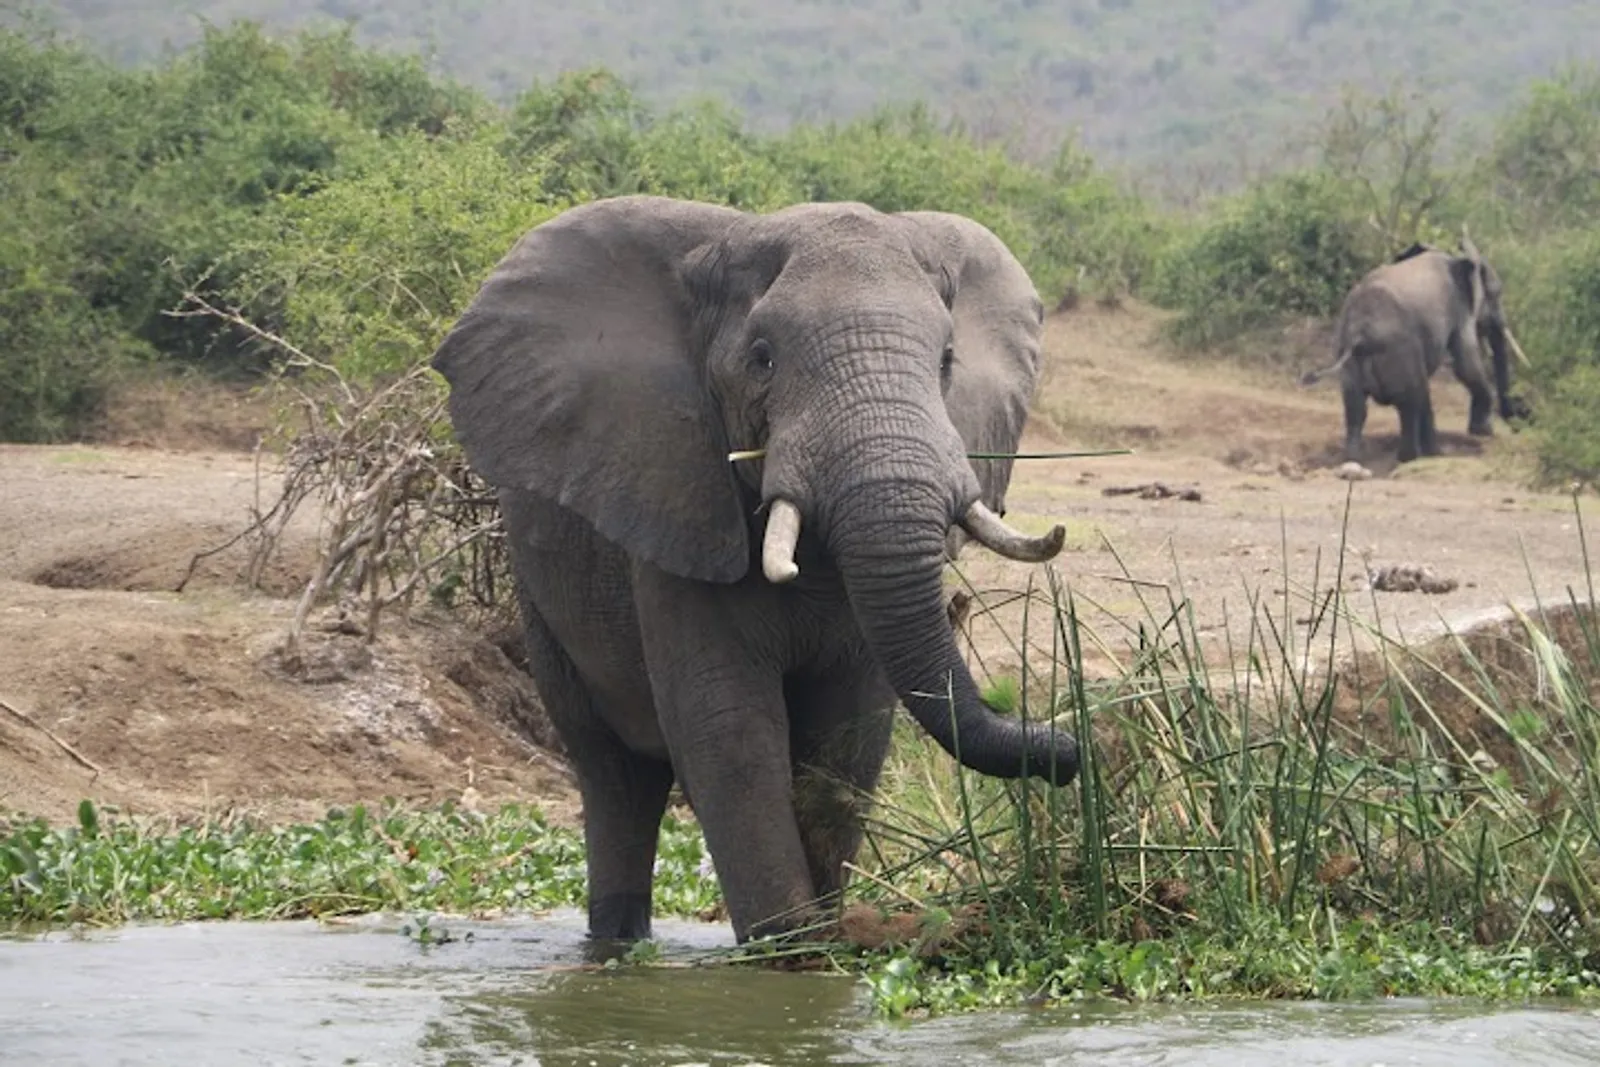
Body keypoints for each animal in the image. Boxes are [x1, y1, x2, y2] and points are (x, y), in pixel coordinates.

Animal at [425, 191, 1081, 940]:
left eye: (946, 360)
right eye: (762, 360)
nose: (1067, 750)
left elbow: (847, 737)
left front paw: (820, 943)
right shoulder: (681, 500)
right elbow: (730, 729)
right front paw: (786, 952)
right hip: (543, 600)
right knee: (612, 774)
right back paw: (617, 943)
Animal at [1292, 230, 1529, 463]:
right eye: (1497, 294)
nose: (1520, 419)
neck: (1454, 257)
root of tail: (1360, 335)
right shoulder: (1459, 309)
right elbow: (1466, 364)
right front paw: (1483, 432)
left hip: (1351, 361)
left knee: (1357, 407)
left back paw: (1355, 458)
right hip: (1399, 353)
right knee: (1410, 401)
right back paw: (1419, 456)